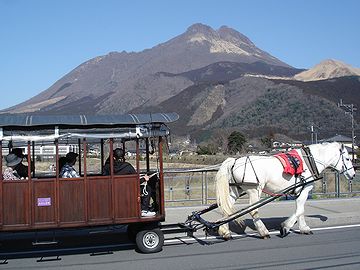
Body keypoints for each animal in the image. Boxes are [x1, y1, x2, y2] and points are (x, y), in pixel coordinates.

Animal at [215, 141, 356, 238]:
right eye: (347, 158)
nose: (353, 174)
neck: (309, 161)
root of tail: (234, 161)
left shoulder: (300, 190)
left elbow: (300, 209)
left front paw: (304, 228)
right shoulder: (305, 188)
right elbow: (300, 209)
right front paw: (285, 227)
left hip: (236, 190)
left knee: (226, 208)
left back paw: (225, 231)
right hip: (254, 190)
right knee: (253, 210)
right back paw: (263, 231)